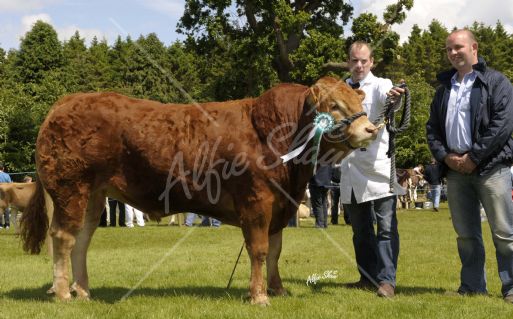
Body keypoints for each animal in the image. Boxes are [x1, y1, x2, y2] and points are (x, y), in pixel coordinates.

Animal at [20, 76, 376, 306]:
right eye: (334, 105)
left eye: (357, 100)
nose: (371, 129)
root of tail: (68, 101)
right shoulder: (257, 202)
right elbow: (260, 250)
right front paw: (259, 296)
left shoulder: (280, 206)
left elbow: (275, 251)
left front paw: (277, 290)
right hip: (71, 188)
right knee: (63, 238)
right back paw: (63, 293)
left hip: (94, 195)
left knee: (81, 240)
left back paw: (82, 291)